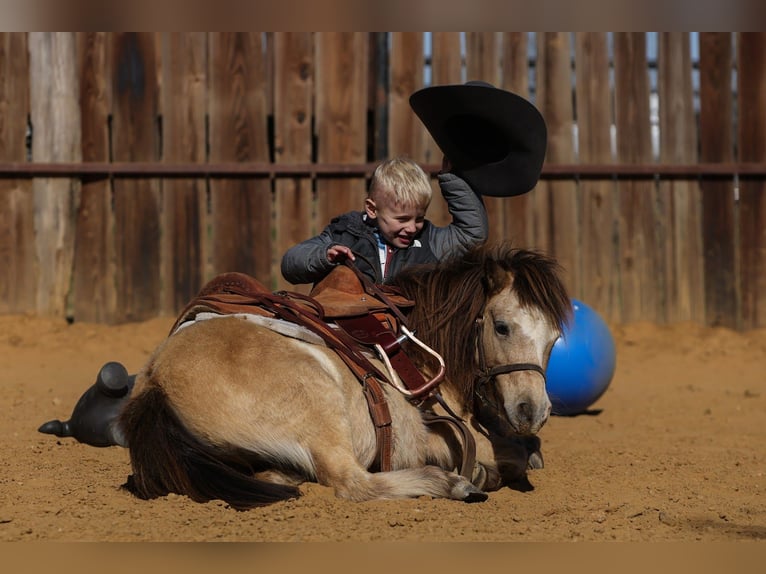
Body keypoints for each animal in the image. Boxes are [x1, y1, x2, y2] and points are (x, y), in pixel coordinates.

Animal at [118, 243, 571, 510]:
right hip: (318, 405)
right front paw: (489, 469)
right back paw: (451, 484)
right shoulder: (431, 438)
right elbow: (505, 454)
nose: (533, 411)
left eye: (555, 337)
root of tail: (155, 382)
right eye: (502, 326)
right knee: (351, 482)